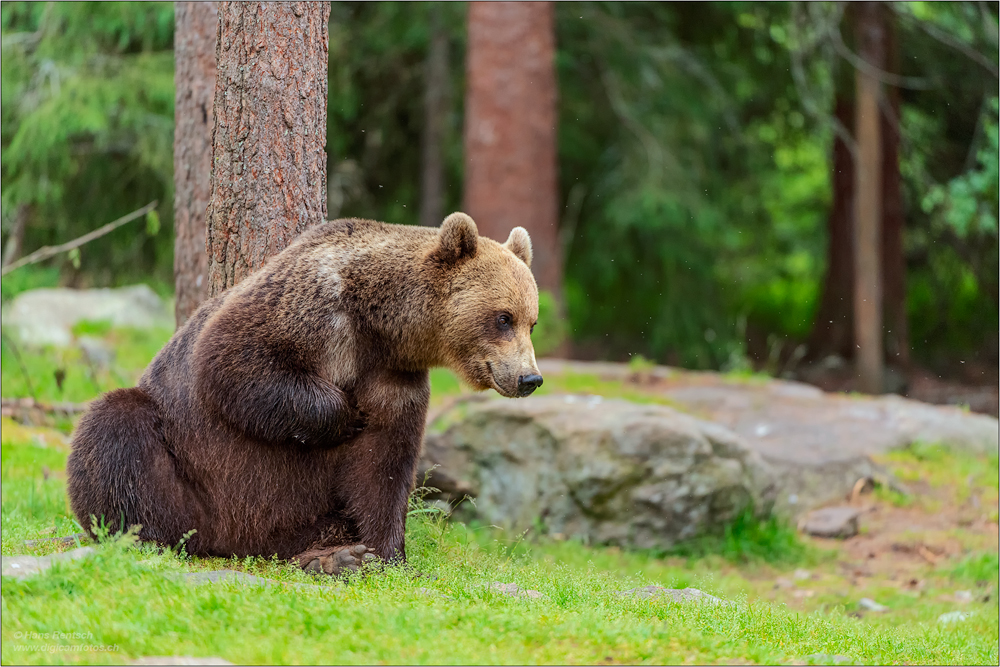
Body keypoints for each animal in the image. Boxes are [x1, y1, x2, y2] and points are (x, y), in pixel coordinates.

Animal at [66, 214, 544, 576]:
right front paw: (345, 414)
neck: (380, 326)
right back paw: (147, 536)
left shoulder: (396, 379)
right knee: (116, 431)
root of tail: (228, 539)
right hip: (190, 471)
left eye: (531, 321)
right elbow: (232, 362)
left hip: (291, 510)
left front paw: (384, 554)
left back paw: (332, 557)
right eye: (503, 317)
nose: (530, 378)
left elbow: (384, 467)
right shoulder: (310, 307)